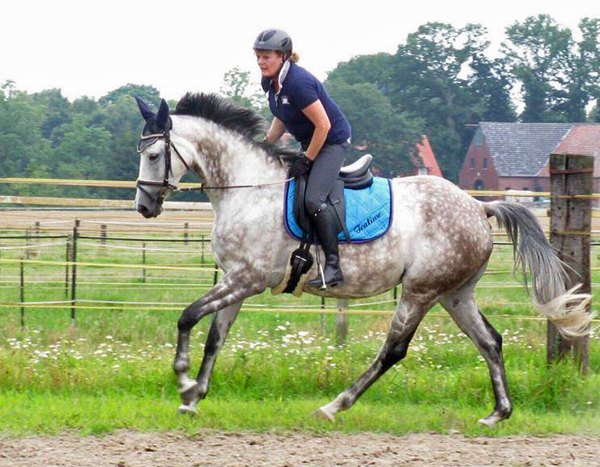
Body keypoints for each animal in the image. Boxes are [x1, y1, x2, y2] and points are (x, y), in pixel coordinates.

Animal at [132, 93, 592, 426]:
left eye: (153, 155)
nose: (144, 206)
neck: (249, 188)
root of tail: (479, 207)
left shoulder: (248, 279)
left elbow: (188, 317)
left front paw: (183, 378)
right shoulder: (236, 280)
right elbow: (216, 336)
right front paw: (194, 397)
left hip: (420, 291)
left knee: (394, 351)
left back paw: (334, 406)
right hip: (455, 294)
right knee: (490, 341)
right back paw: (498, 413)